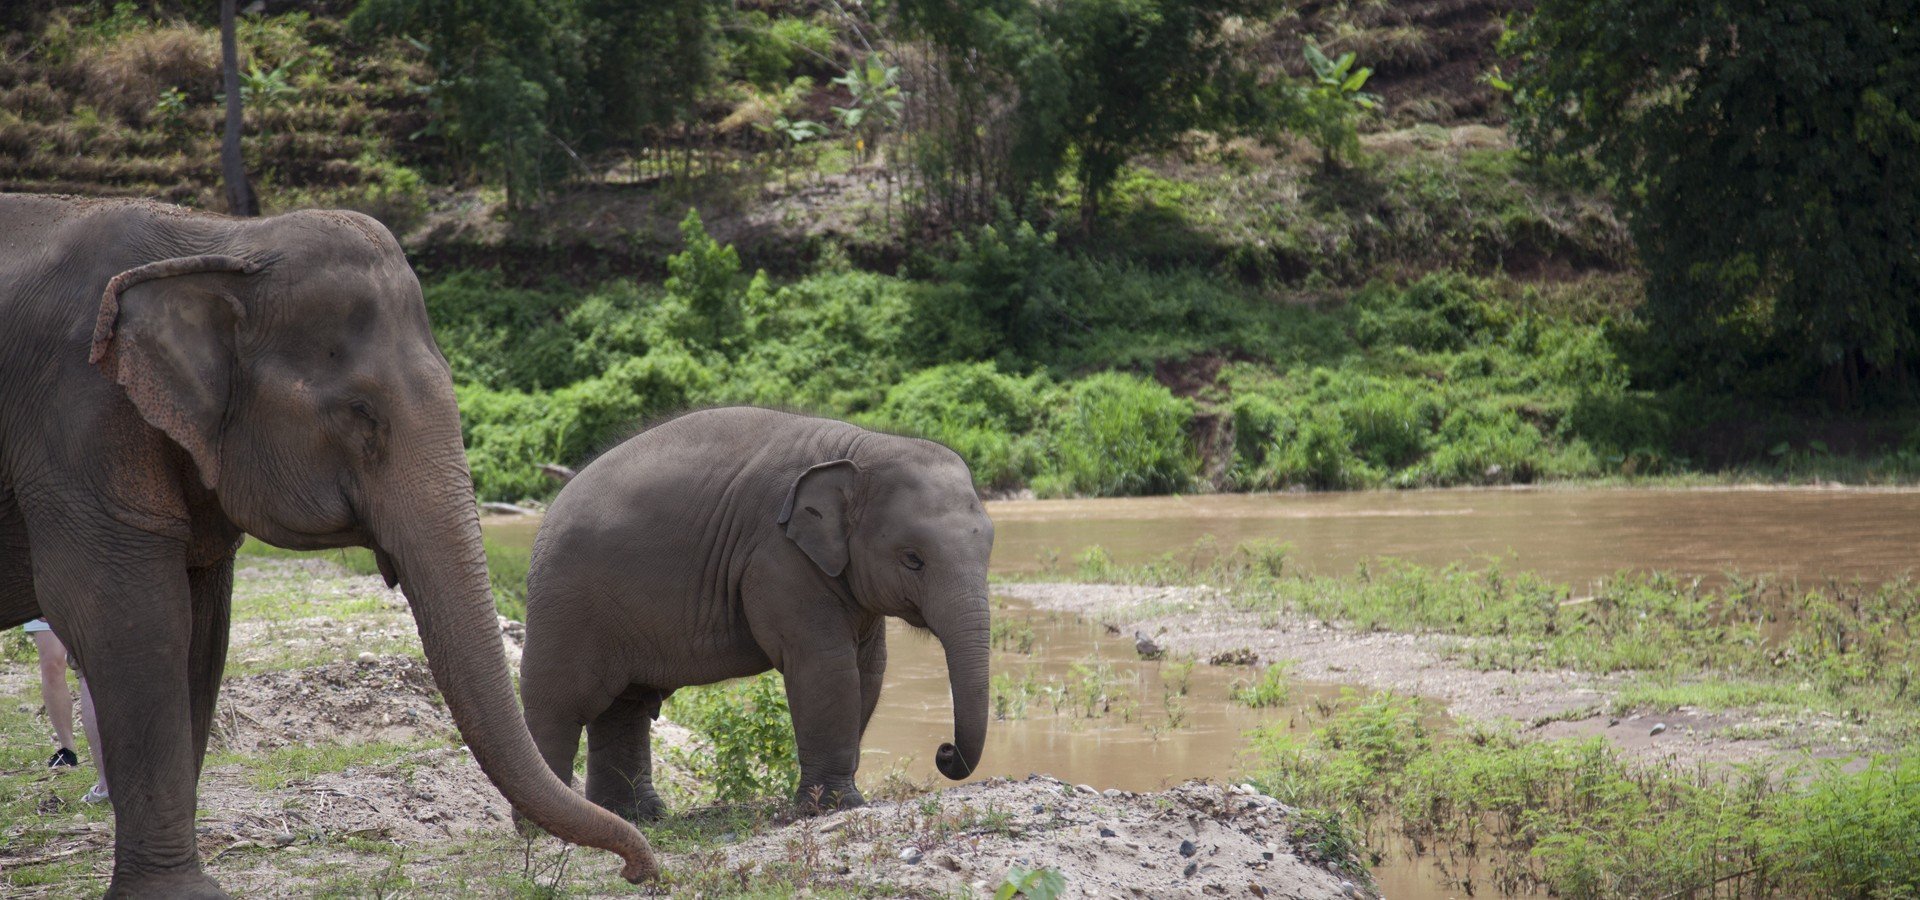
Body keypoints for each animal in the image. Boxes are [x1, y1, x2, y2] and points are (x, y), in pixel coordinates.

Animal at [0, 194, 656, 890]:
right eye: (361, 415)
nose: (640, 871)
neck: (221, 240)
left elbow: (201, 631)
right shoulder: (75, 424)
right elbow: (124, 617)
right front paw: (180, 894)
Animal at [526, 406, 998, 813]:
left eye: (988, 551)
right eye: (913, 559)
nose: (944, 751)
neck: (860, 446)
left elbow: (869, 668)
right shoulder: (776, 557)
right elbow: (826, 667)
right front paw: (835, 807)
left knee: (626, 709)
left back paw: (639, 817)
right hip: (565, 604)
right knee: (560, 706)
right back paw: (544, 826)